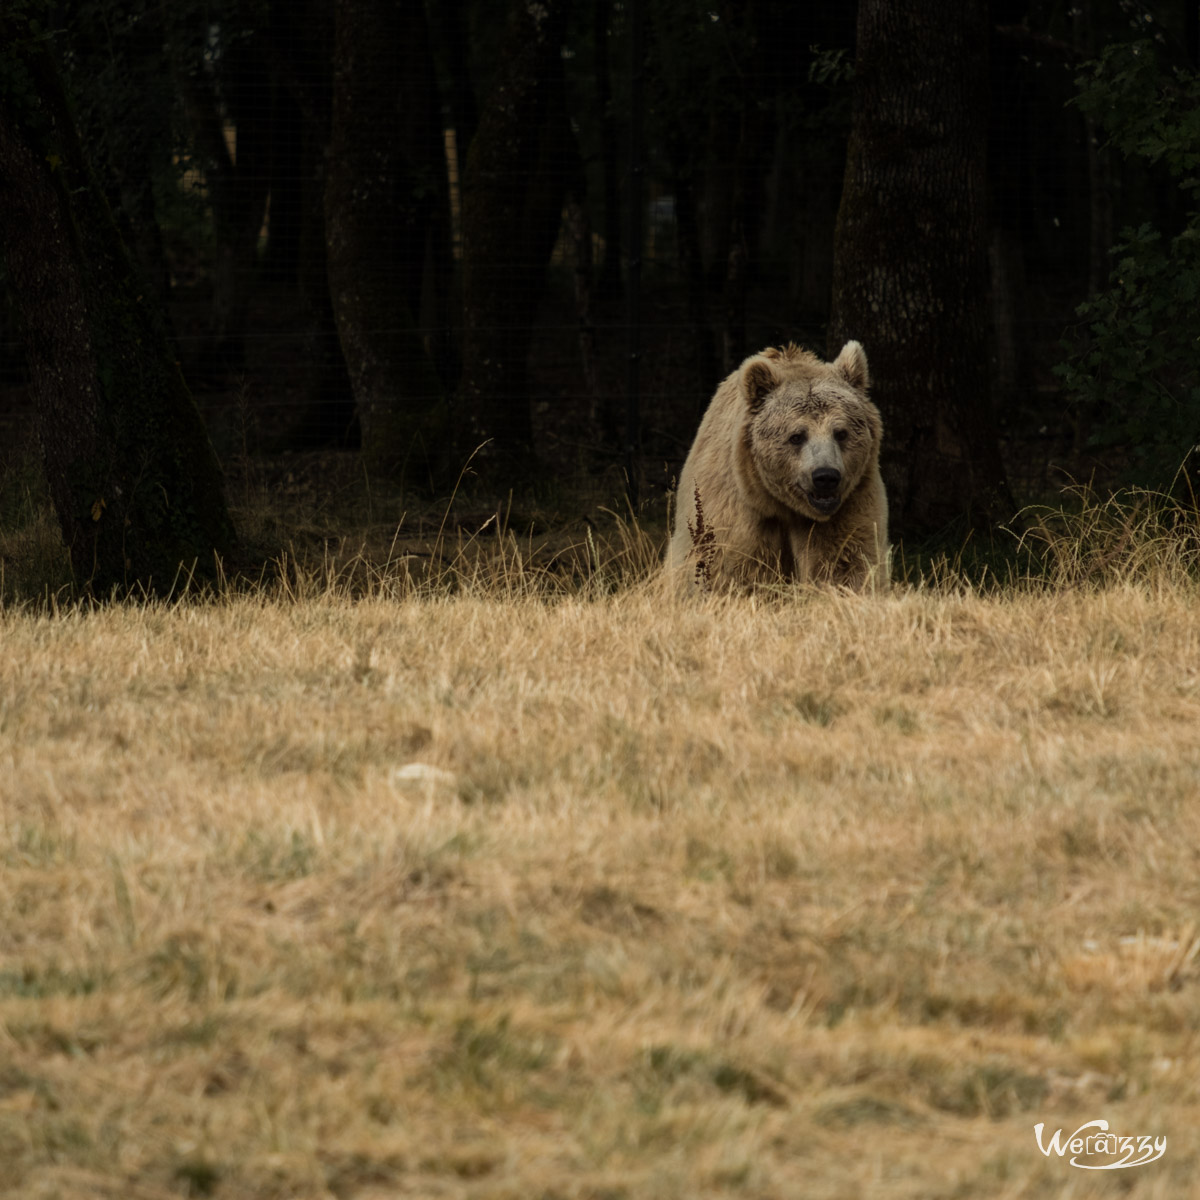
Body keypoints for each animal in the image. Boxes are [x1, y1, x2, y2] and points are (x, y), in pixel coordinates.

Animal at [667, 343, 892, 590]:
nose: (825, 476)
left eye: (841, 433)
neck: (785, 508)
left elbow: (845, 561)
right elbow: (732, 568)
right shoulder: (738, 512)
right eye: (797, 436)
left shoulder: (851, 502)